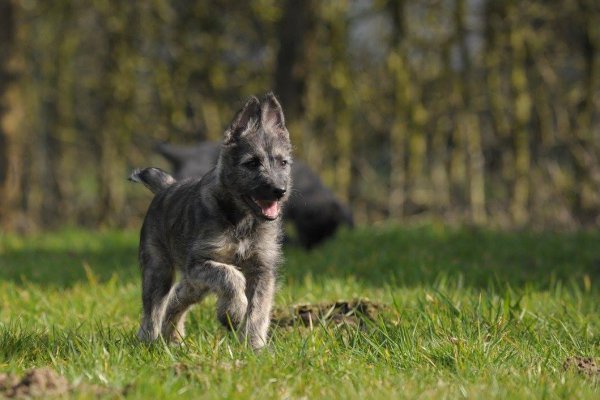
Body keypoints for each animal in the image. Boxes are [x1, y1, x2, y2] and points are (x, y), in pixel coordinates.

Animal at [129, 93, 292, 350]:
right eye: (252, 163)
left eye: (283, 163)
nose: (279, 191)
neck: (241, 221)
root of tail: (166, 187)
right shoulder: (201, 262)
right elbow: (230, 276)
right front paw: (234, 312)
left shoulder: (263, 270)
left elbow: (258, 310)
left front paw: (253, 346)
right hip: (159, 269)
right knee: (153, 308)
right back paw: (149, 341)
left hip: (195, 283)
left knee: (178, 297)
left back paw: (173, 337)